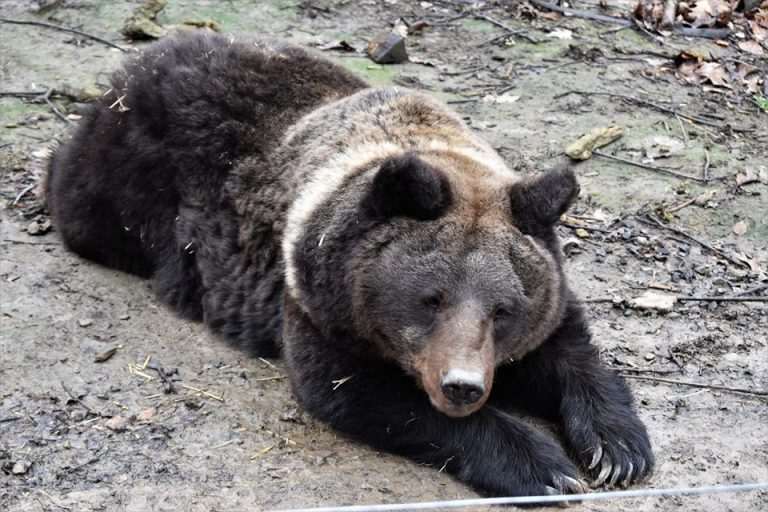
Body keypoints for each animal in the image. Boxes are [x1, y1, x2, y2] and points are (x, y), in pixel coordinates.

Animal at [45, 31, 652, 496]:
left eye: (502, 309)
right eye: (430, 298)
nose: (462, 386)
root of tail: (141, 61)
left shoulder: (542, 287)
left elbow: (569, 352)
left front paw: (617, 448)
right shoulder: (315, 298)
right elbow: (354, 391)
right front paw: (544, 467)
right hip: (126, 181)